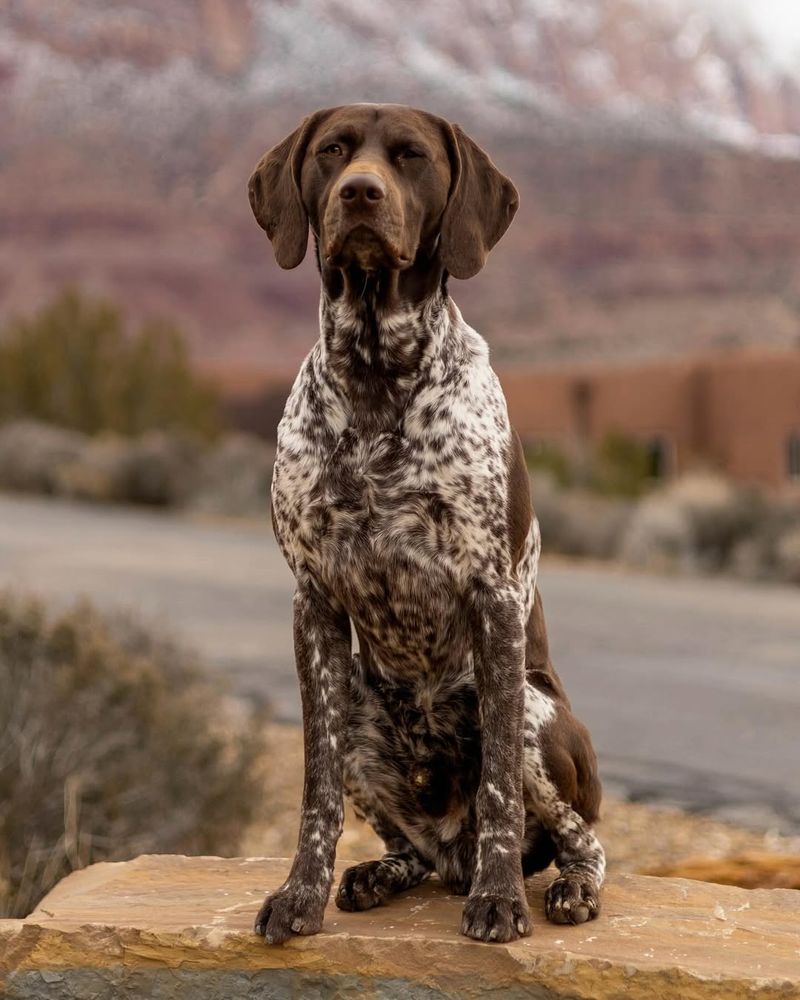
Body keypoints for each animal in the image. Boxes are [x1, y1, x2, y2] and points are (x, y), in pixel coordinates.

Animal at [247, 105, 604, 940]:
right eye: (332, 151)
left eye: (411, 156)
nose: (360, 193)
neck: (378, 371)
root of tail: (450, 850)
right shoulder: (313, 603)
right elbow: (315, 792)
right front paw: (301, 895)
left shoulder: (493, 599)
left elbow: (500, 786)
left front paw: (500, 902)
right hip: (358, 711)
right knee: (414, 850)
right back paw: (380, 875)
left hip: (540, 715)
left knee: (580, 838)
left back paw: (566, 887)